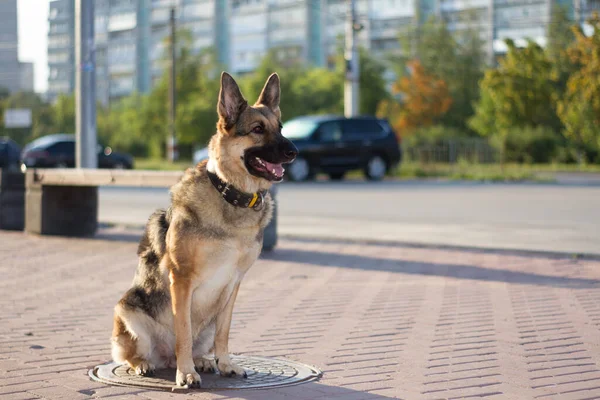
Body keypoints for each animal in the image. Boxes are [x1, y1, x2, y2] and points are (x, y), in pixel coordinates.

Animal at [110, 71, 298, 388]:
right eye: (258, 129)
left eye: (280, 128)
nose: (294, 151)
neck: (230, 195)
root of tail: (164, 357)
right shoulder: (182, 280)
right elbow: (184, 334)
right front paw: (186, 373)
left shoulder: (233, 284)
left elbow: (224, 333)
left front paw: (225, 364)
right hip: (127, 308)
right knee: (136, 353)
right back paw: (147, 364)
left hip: (206, 324)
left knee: (198, 343)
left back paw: (203, 361)